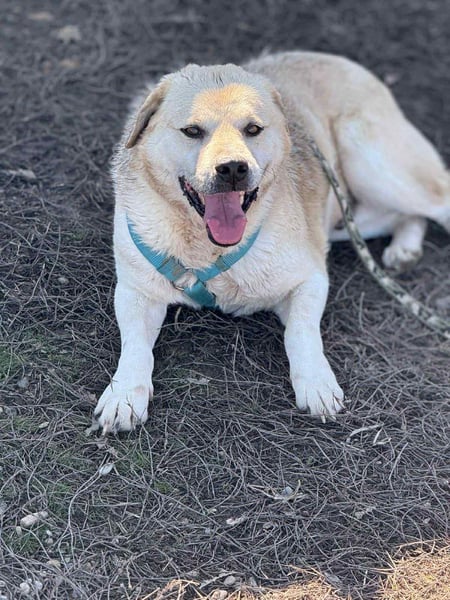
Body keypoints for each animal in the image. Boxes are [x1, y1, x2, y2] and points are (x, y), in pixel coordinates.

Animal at [94, 51, 450, 433]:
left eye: (252, 129)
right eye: (192, 131)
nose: (233, 169)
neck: (211, 248)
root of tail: (337, 59)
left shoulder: (309, 278)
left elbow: (302, 332)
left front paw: (316, 382)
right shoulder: (136, 292)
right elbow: (135, 346)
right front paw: (124, 394)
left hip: (373, 166)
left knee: (438, 199)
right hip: (348, 215)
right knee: (403, 215)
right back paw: (405, 247)